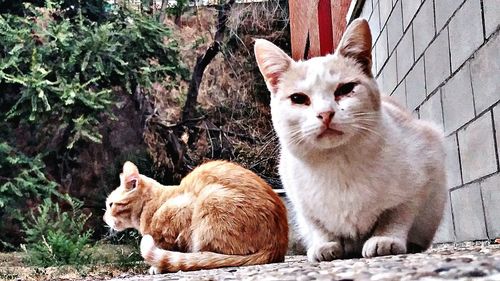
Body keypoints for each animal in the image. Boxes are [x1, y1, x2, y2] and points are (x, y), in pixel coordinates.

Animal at [102, 161, 290, 272]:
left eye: (110, 205)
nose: (104, 218)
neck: (152, 206)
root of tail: (277, 247)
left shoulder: (183, 208)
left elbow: (167, 247)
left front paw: (158, 267)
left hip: (210, 198)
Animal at [254, 18, 446, 260]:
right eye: (298, 98)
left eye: (345, 89)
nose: (325, 113)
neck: (337, 164)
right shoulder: (300, 201)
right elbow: (317, 225)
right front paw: (325, 245)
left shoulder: (425, 165)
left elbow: (397, 215)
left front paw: (386, 239)